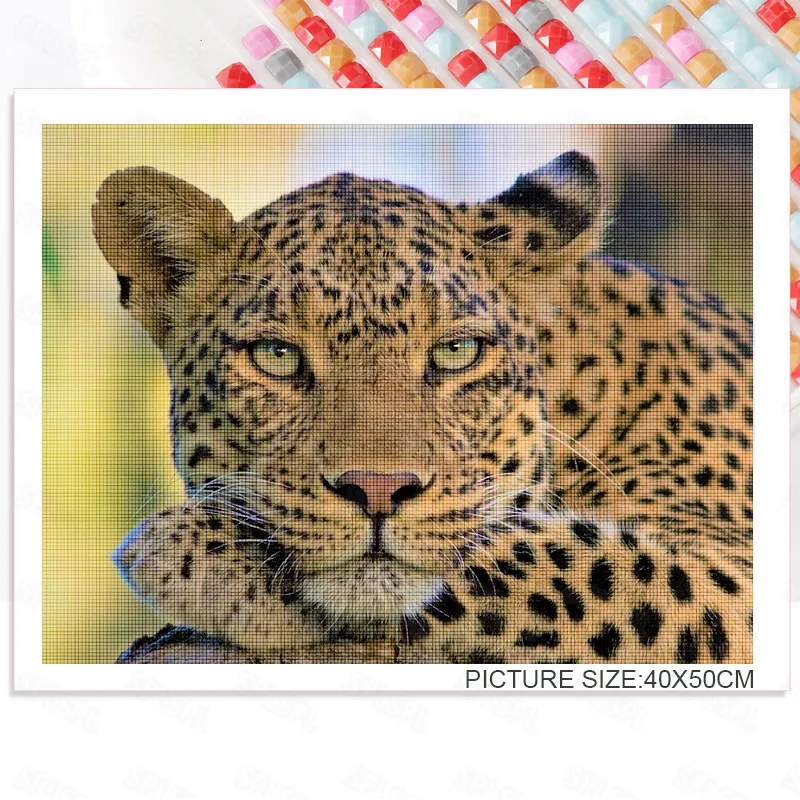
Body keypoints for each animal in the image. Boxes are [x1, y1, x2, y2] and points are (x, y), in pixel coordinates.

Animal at [93, 151, 753, 664]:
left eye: (456, 352)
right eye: (277, 355)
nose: (378, 489)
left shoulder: (730, 567)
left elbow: (545, 558)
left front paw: (187, 552)